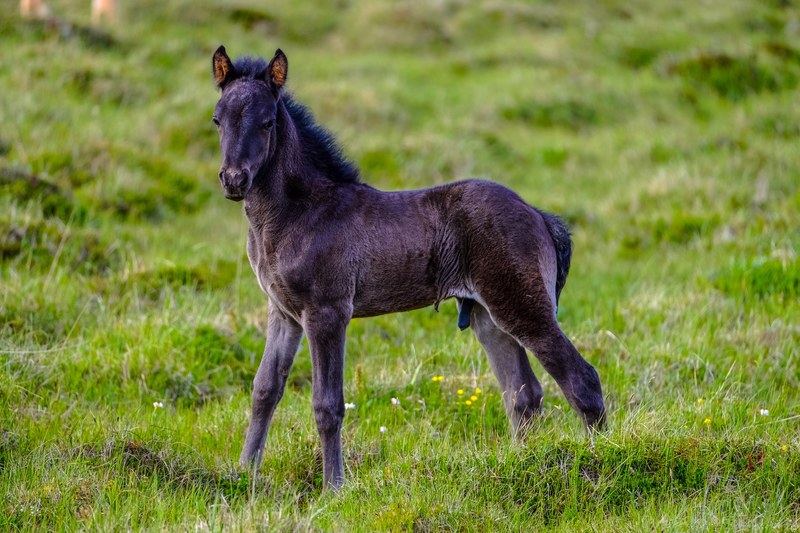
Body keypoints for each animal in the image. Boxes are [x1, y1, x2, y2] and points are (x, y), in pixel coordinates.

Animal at [210, 46, 606, 490]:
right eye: (218, 119)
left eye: (267, 122)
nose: (234, 180)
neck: (299, 212)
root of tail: (538, 215)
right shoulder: (283, 312)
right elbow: (264, 390)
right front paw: (243, 474)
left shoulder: (327, 312)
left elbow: (327, 404)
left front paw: (334, 489)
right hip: (488, 317)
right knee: (523, 395)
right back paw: (522, 462)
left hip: (521, 306)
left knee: (581, 380)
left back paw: (600, 457)